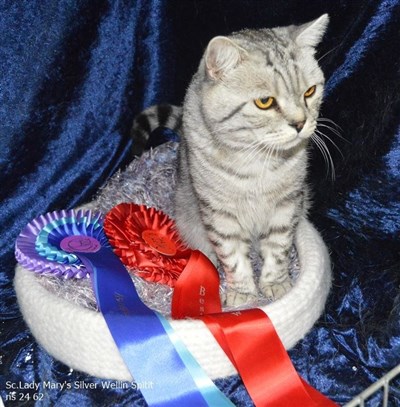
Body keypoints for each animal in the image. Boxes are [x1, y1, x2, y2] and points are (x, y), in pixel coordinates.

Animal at [133, 14, 330, 306]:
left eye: (310, 92)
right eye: (265, 102)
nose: (300, 123)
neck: (258, 161)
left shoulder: (287, 203)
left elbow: (278, 248)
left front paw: (276, 284)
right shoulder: (219, 211)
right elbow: (233, 256)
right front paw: (243, 293)